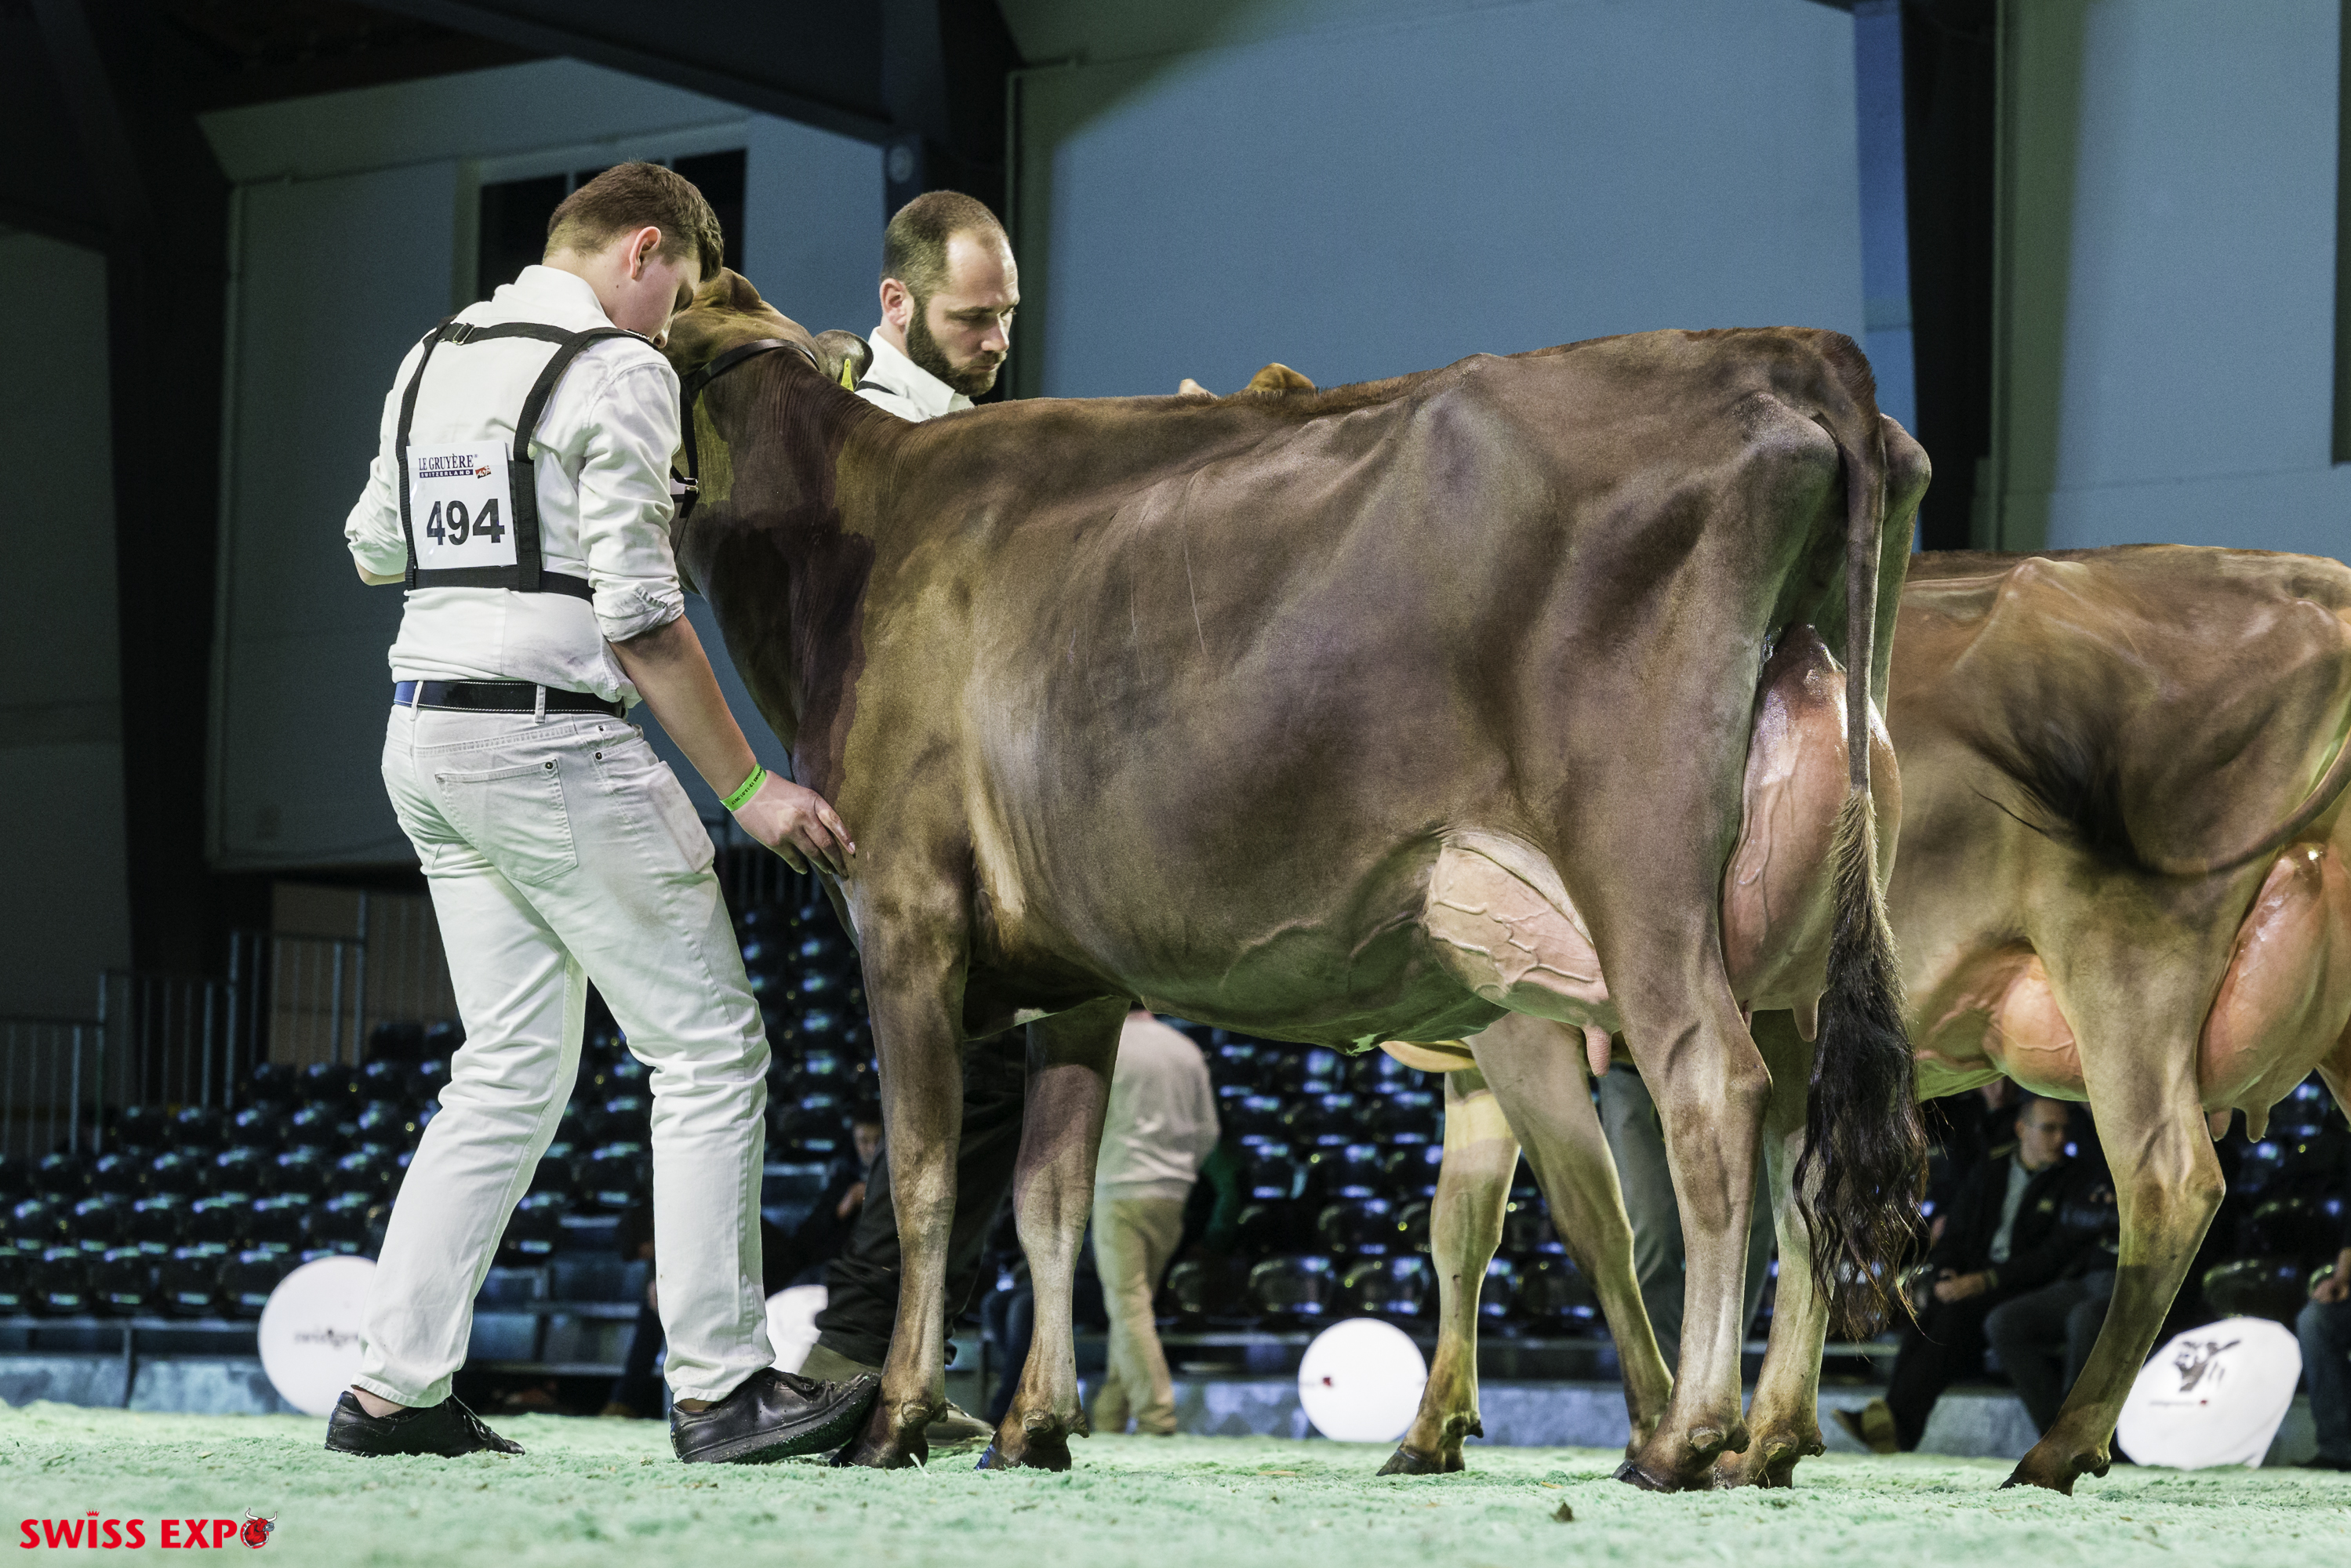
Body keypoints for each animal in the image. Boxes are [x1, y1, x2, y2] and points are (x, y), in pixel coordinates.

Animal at [658, 269, 1927, 1486]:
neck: (851, 544)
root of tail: (1783, 351)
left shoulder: (903, 909)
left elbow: (921, 1177)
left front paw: (895, 1417)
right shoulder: (1077, 976)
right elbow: (1046, 1201)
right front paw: (1032, 1426)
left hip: (1641, 879)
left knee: (1711, 1093)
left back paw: (1686, 1438)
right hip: (1792, 951)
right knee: (1799, 1153)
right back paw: (1764, 1440)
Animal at [1389, 544, 2351, 1496]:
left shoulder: (1516, 1019)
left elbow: (1596, 1226)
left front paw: (1652, 1421)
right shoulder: (1474, 1061)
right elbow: (1458, 1232)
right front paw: (1434, 1429)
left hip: (2123, 963)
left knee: (2169, 1181)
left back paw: (2056, 1447)